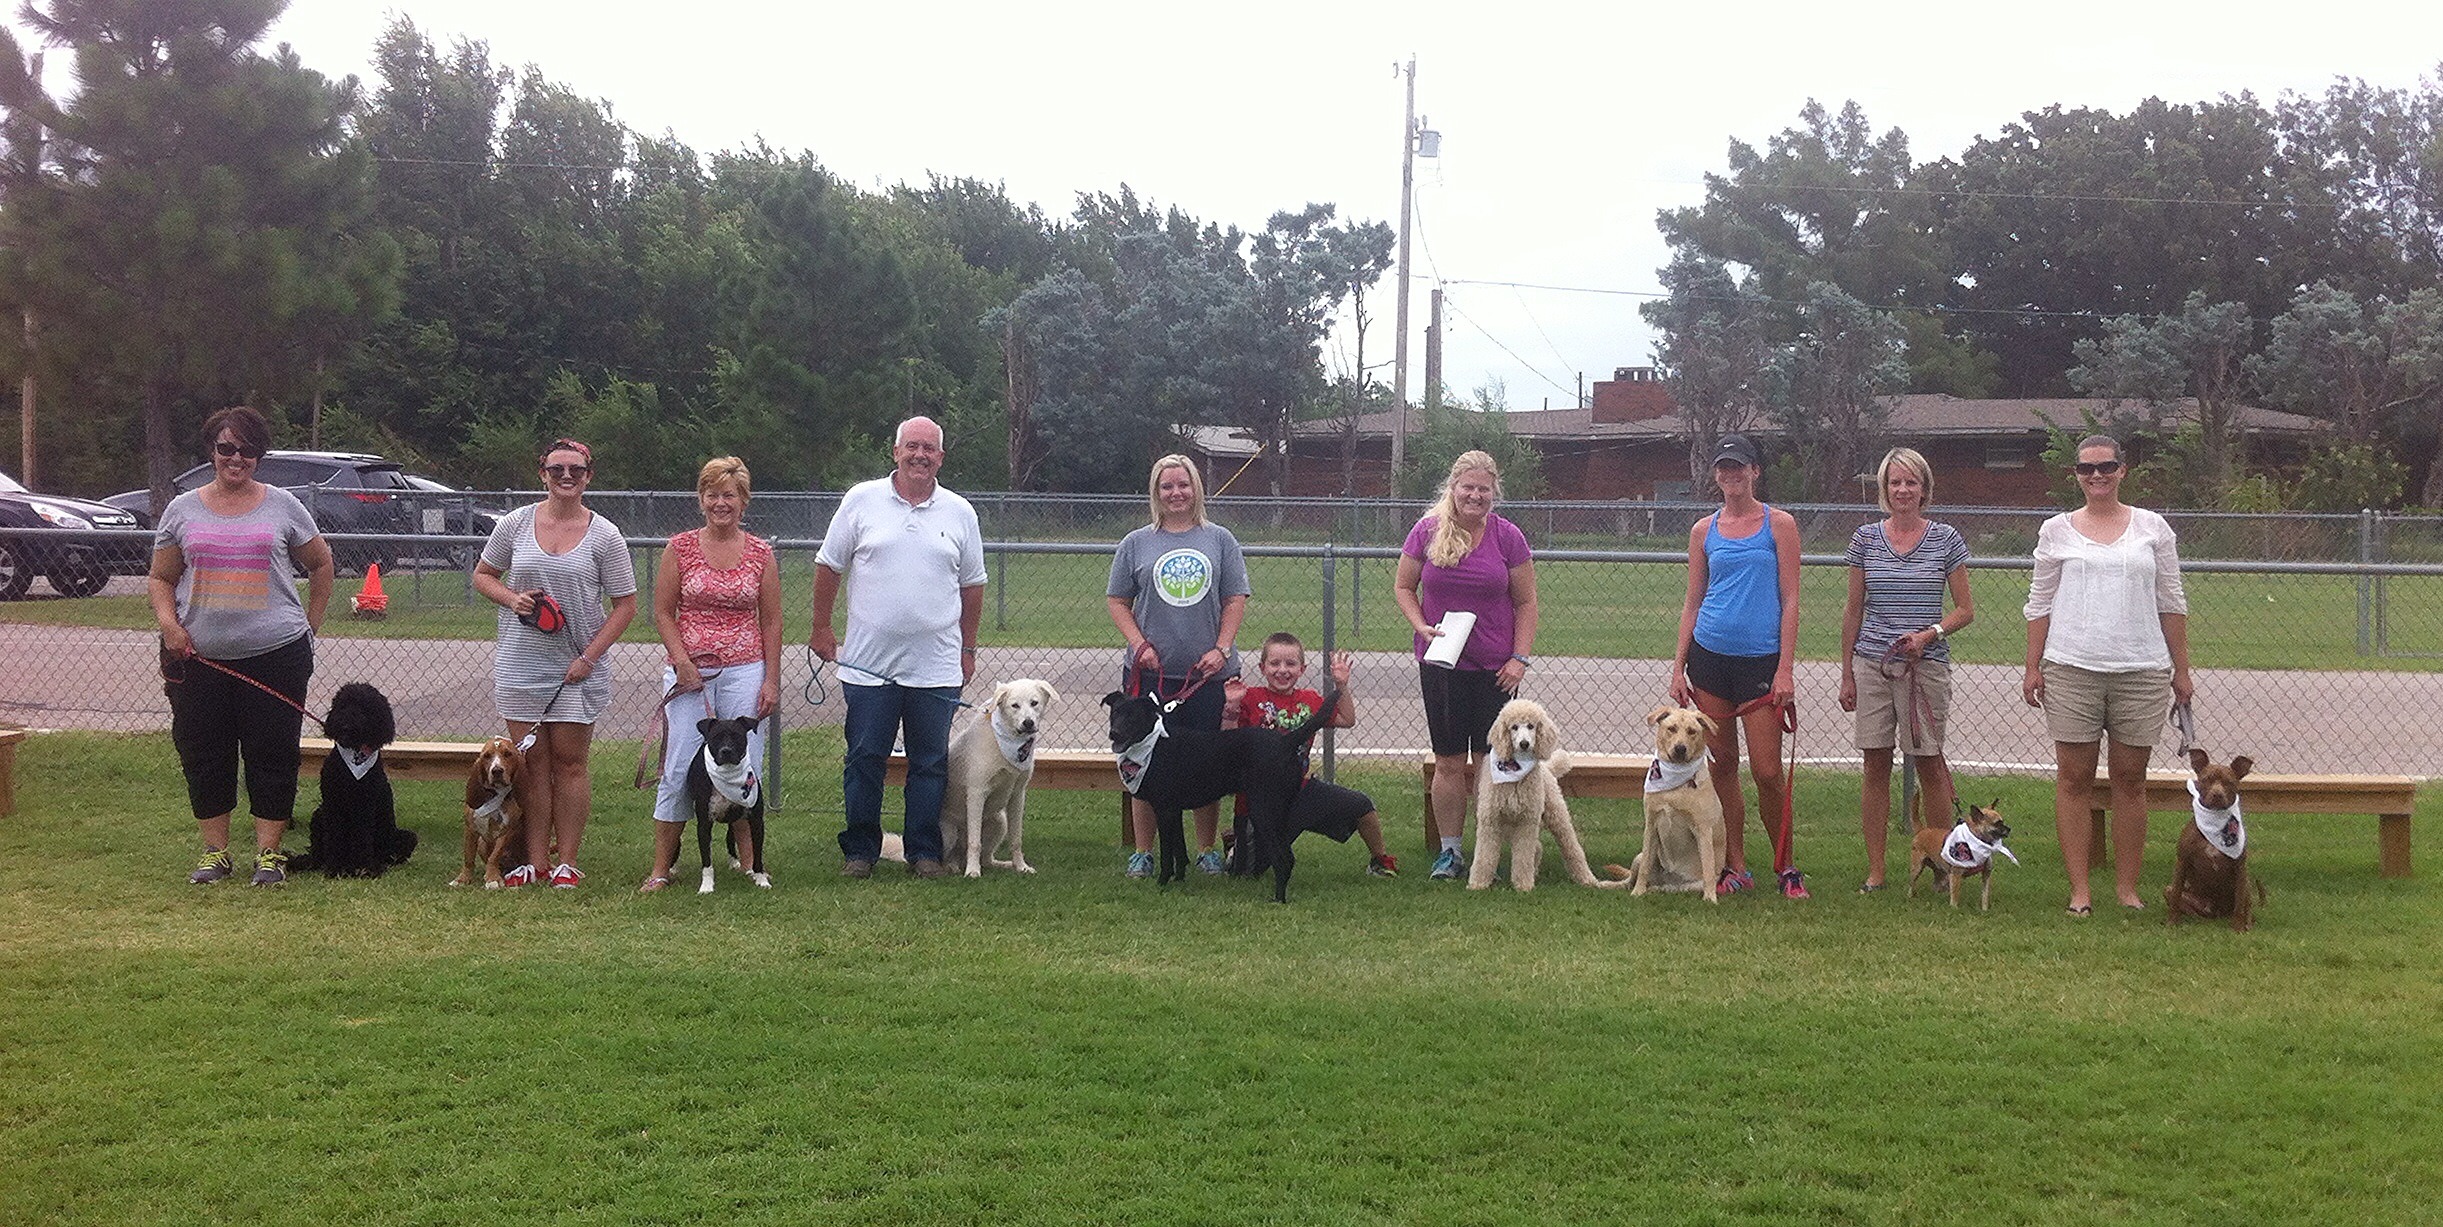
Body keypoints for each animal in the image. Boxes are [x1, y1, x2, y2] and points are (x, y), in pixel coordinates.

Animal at [449, 733, 525, 884]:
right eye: (486, 756)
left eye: (508, 754)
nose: (497, 771)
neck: (494, 794)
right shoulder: (470, 828)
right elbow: (468, 857)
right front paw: (463, 879)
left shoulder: (506, 831)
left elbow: (494, 856)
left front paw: (492, 879)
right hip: (482, 842)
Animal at [2169, 747, 2257, 928]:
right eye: (2206, 779)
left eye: (2229, 782)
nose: (2217, 794)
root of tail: (2218, 912)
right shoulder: (2182, 862)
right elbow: (2175, 896)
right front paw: (2172, 923)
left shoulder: (2240, 867)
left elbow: (2239, 905)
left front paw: (2238, 928)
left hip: (2246, 885)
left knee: (2246, 905)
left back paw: (2247, 925)